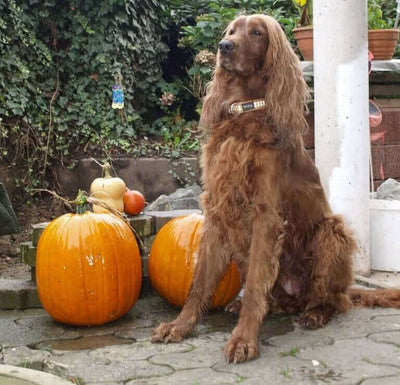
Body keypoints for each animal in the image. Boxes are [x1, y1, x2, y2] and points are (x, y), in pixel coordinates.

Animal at [151, 14, 400, 364]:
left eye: (256, 32)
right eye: (231, 31)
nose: (224, 47)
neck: (245, 109)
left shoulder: (265, 216)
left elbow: (256, 284)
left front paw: (243, 340)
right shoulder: (218, 210)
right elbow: (199, 282)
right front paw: (179, 325)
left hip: (331, 232)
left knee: (335, 301)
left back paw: (315, 313)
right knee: (286, 298)